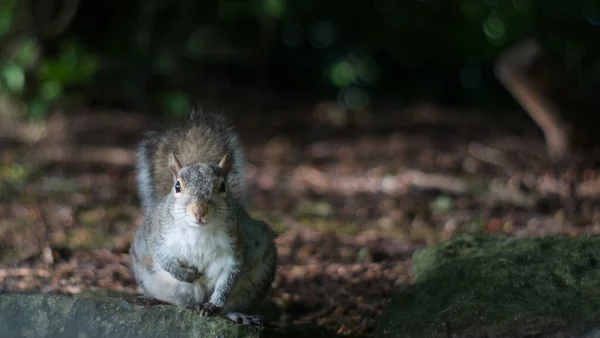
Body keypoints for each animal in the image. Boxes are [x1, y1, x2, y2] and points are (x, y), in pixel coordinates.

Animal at [129, 111, 278, 324]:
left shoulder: (236, 244)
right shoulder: (156, 234)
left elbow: (230, 276)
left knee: (229, 306)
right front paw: (185, 274)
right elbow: (161, 255)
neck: (198, 230)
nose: (199, 210)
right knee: (175, 301)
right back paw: (153, 300)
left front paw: (214, 303)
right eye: (177, 186)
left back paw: (238, 314)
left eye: (223, 186)